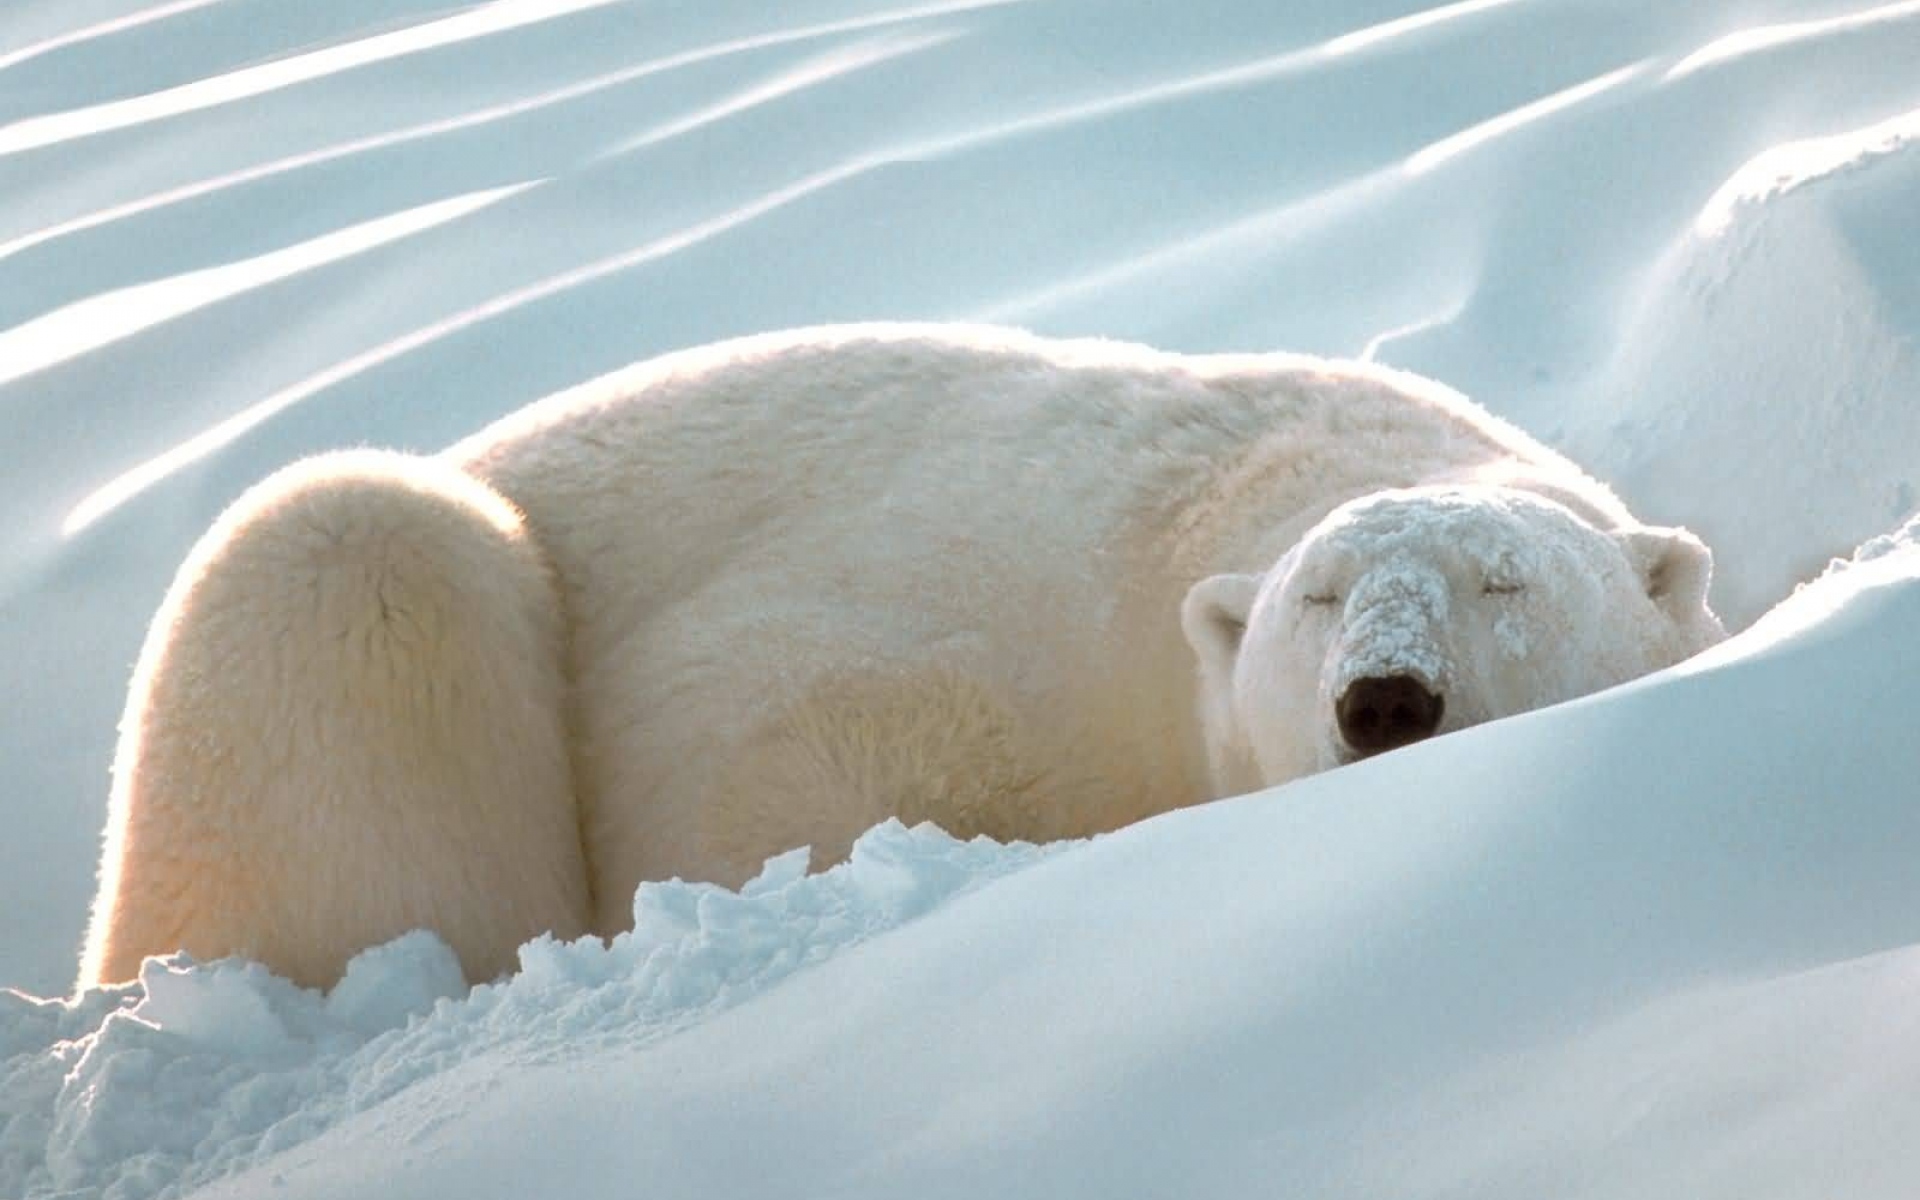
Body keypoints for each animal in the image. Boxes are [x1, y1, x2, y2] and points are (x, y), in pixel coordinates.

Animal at [74, 322, 1735, 990]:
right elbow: (764, 744)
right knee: (347, 548)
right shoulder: (978, 624)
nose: (1387, 698)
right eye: (1320, 599)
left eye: (1503, 578)